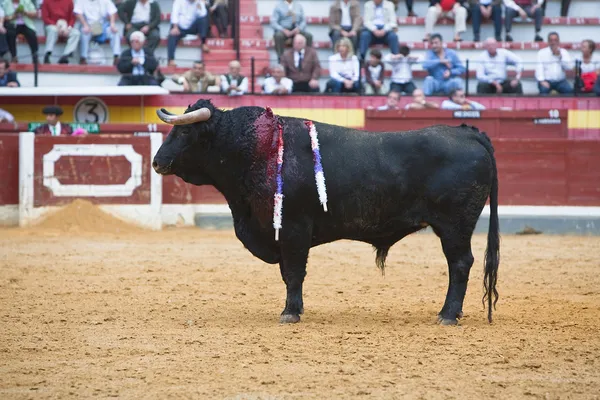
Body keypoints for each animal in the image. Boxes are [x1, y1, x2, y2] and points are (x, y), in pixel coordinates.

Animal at [152, 100, 500, 324]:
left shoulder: (293, 229)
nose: (156, 162)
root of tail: (468, 132)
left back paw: (447, 315)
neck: (255, 149)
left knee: (460, 264)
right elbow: (288, 273)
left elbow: (294, 272)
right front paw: (295, 308)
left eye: (184, 133)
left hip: (454, 226)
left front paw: (290, 312)